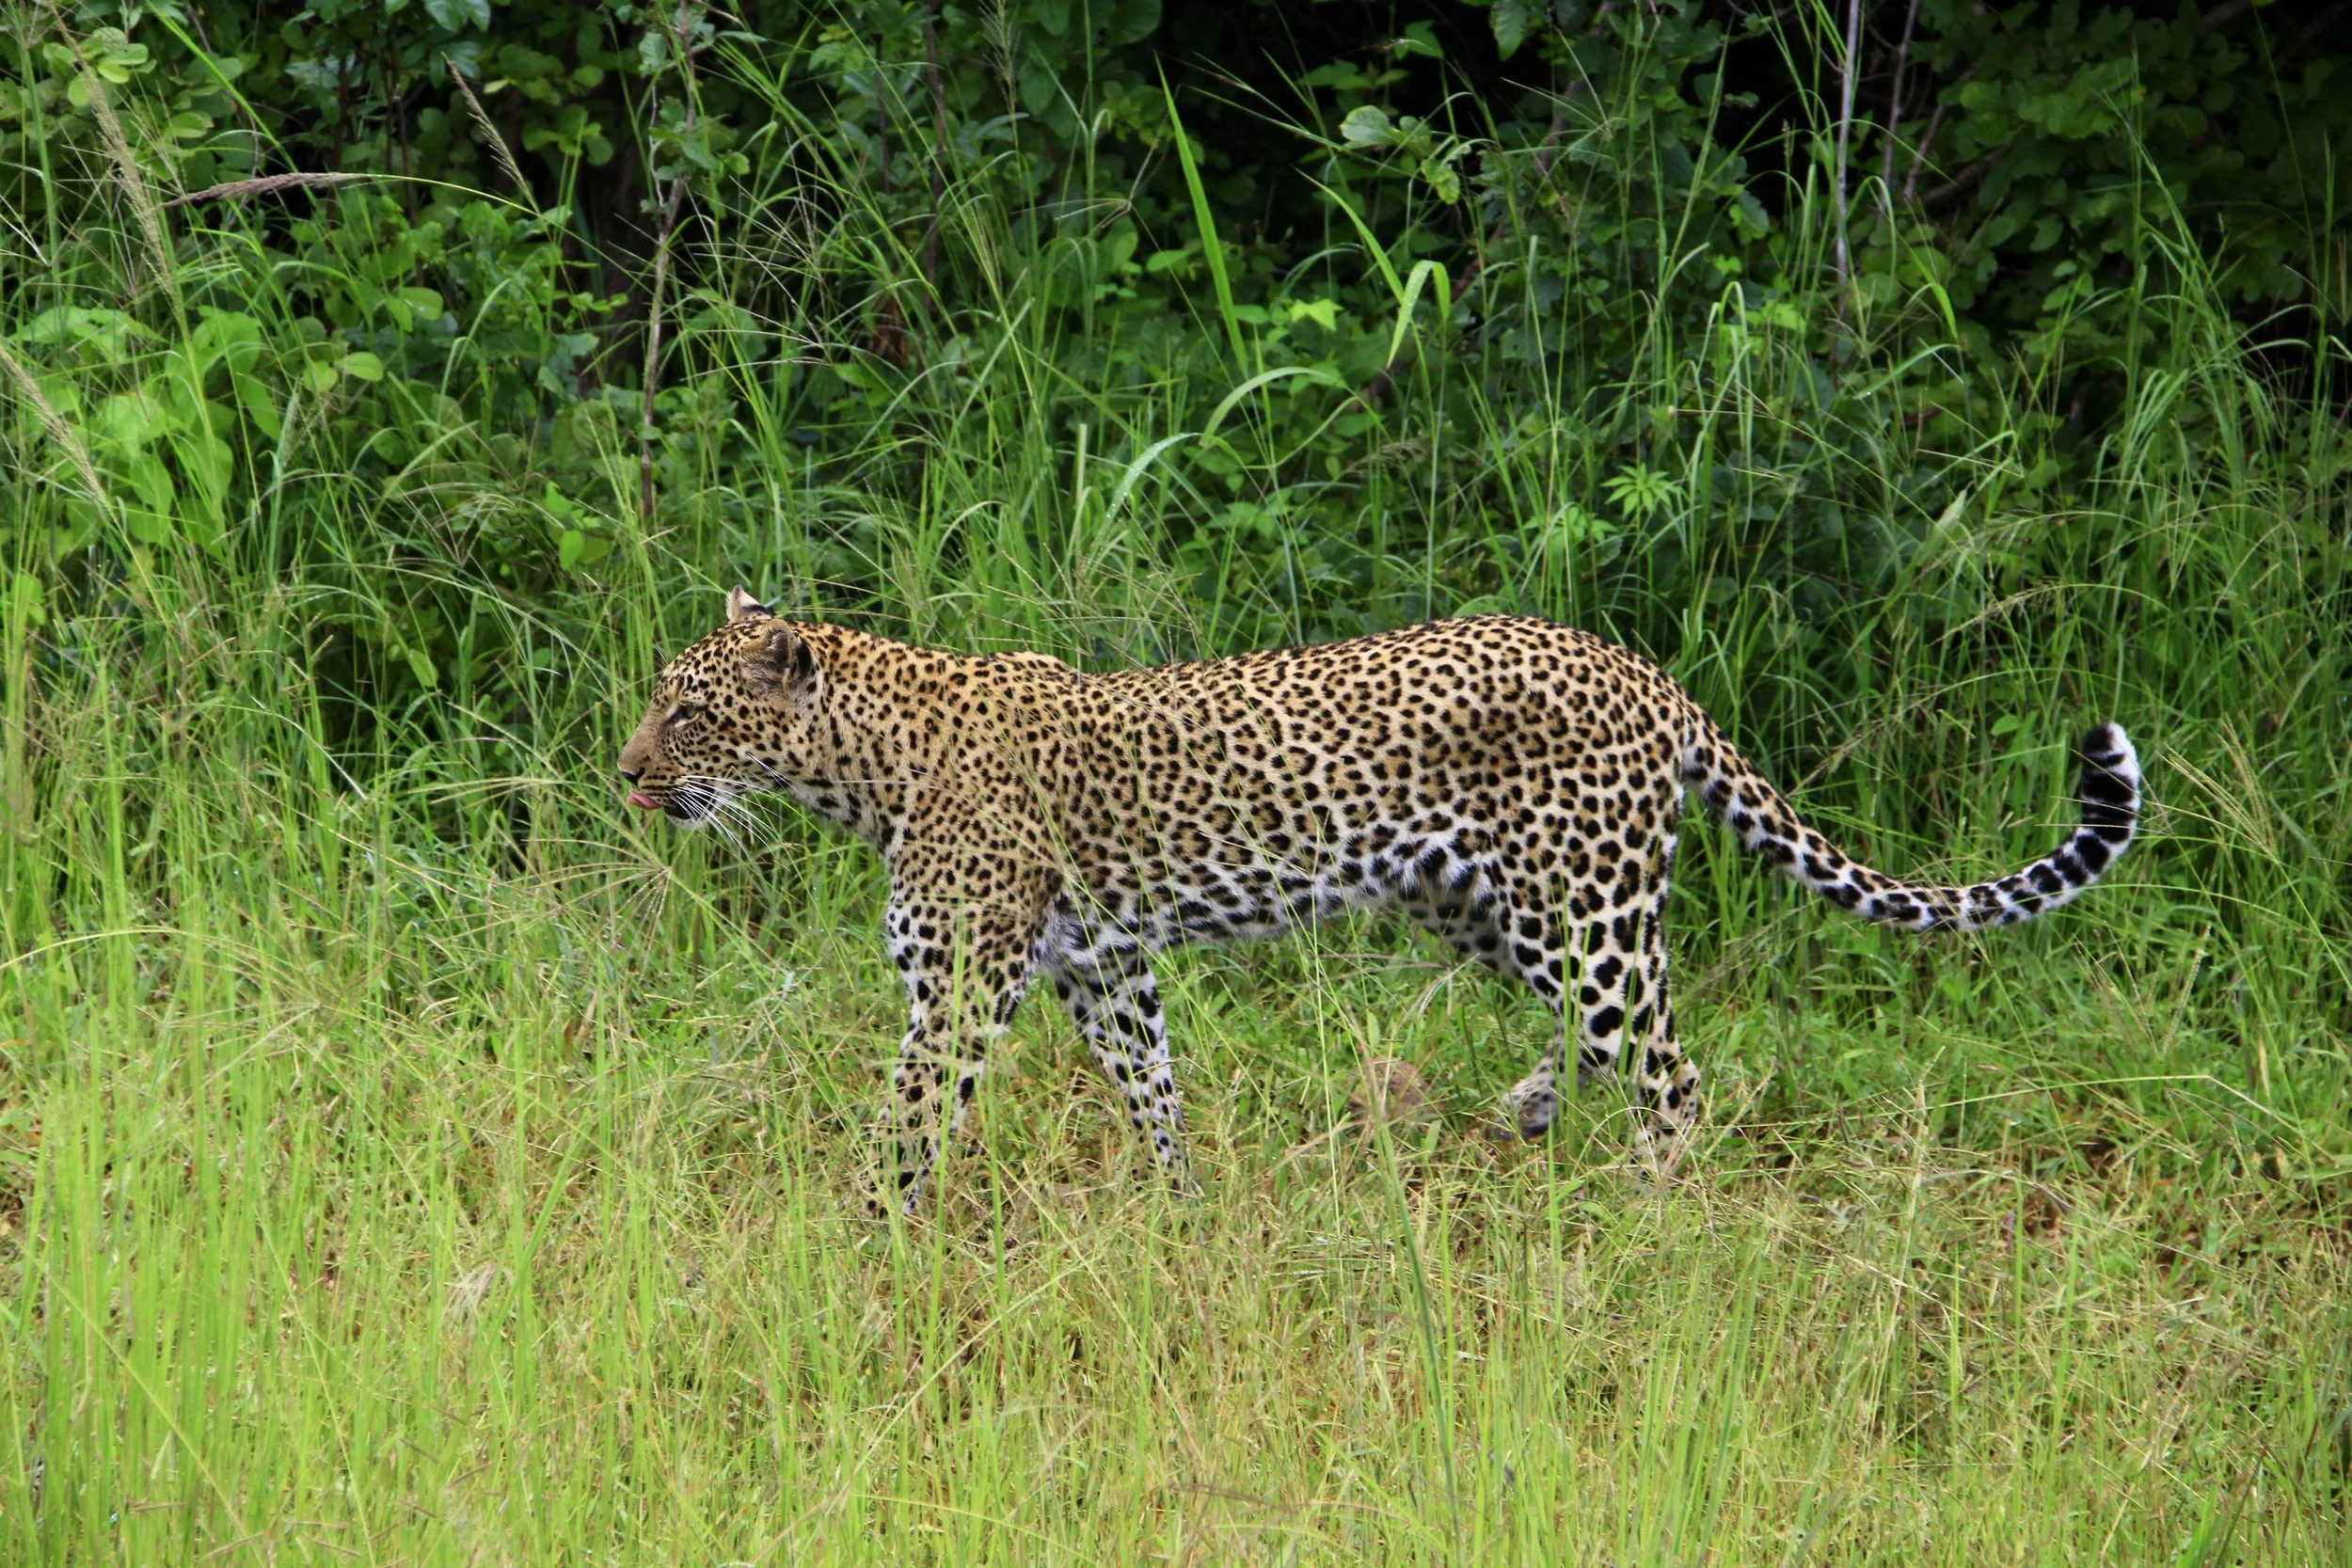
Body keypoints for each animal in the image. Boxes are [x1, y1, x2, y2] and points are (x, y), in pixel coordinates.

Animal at [618, 589, 2140, 1212]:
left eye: (687, 712)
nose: (625, 770)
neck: (860, 764)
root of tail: (1646, 672)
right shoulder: (1102, 965)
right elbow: (1152, 1088)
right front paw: (1183, 1214)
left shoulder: (964, 979)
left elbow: (909, 1118)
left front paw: (863, 1239)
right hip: (1488, 906)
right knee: (1613, 1039)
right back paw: (1530, 1110)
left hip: (1584, 905)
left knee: (1674, 1071)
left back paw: (1634, 1205)